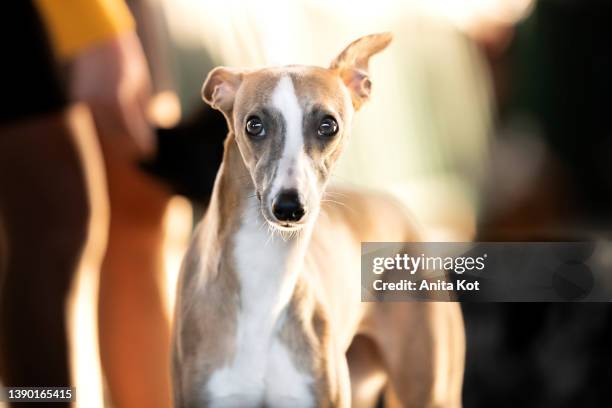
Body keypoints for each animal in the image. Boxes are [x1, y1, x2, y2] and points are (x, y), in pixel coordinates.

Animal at [172, 33, 464, 406]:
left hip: (429, 387)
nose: (289, 207)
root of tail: (398, 207)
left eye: (329, 125)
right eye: (254, 124)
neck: (263, 293)